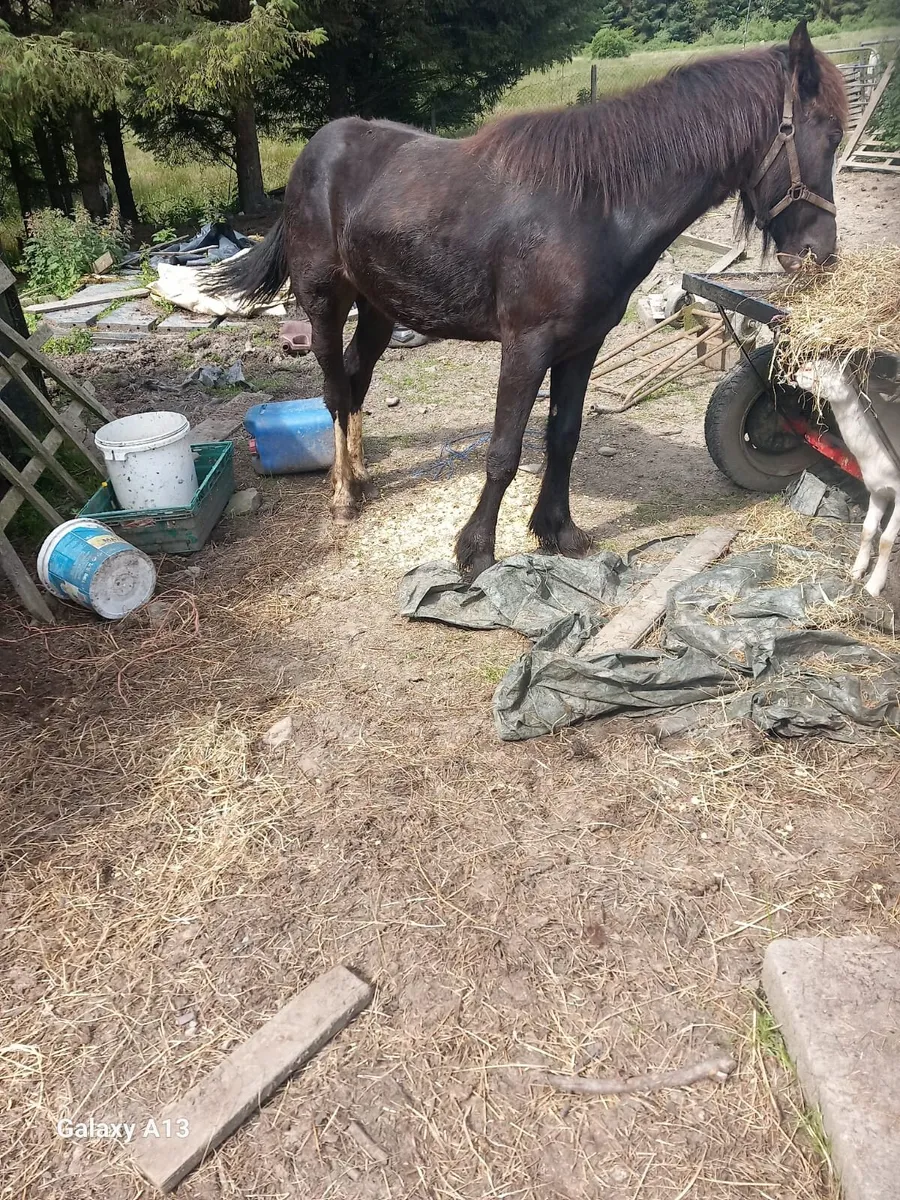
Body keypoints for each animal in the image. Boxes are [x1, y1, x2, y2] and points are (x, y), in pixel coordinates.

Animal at [213, 20, 848, 579]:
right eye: (830, 134)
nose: (820, 254)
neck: (597, 205)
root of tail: (313, 152)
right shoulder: (526, 345)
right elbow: (504, 449)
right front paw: (476, 552)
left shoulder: (583, 346)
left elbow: (563, 437)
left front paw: (557, 530)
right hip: (324, 302)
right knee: (334, 388)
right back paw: (344, 492)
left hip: (379, 307)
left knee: (355, 378)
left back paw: (361, 476)